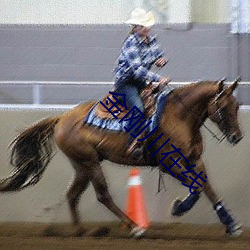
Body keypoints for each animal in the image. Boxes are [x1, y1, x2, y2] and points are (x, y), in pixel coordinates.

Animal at [0, 79, 243, 237]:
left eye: (237, 105)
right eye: (223, 107)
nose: (237, 137)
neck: (179, 117)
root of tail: (61, 117)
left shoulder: (194, 160)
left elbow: (207, 187)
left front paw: (231, 225)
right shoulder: (170, 163)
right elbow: (197, 186)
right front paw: (178, 208)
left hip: (82, 165)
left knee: (72, 195)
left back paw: (82, 231)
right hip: (90, 163)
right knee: (102, 195)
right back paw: (134, 226)